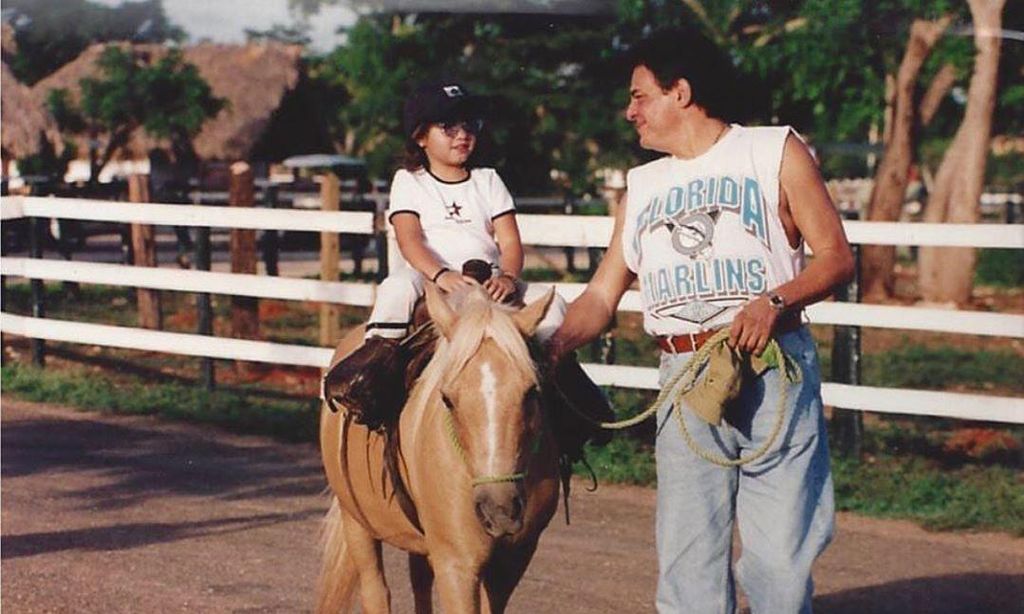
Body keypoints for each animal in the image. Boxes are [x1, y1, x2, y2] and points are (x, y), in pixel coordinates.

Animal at [317, 284, 561, 609]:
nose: (500, 509)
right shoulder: (456, 565)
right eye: (447, 399)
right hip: (356, 521)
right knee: (375, 589)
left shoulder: (511, 562)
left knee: (419, 582)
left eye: (532, 391)